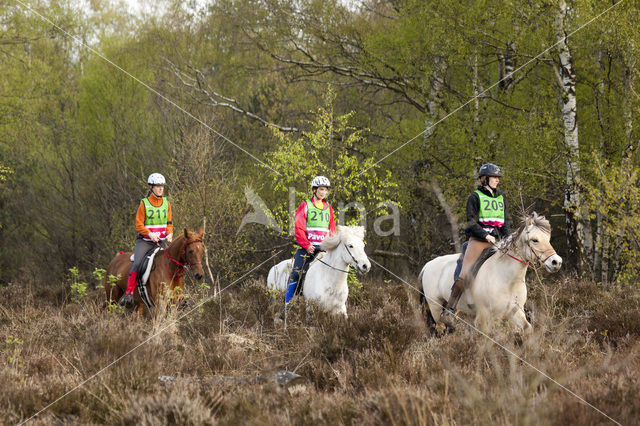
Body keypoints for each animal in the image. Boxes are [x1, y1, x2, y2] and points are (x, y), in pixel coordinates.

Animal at [420, 212, 560, 332]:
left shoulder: (515, 312)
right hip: (435, 307)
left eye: (548, 239)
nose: (556, 262)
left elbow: (527, 329)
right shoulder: (484, 318)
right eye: (534, 240)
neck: (508, 280)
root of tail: (427, 265)